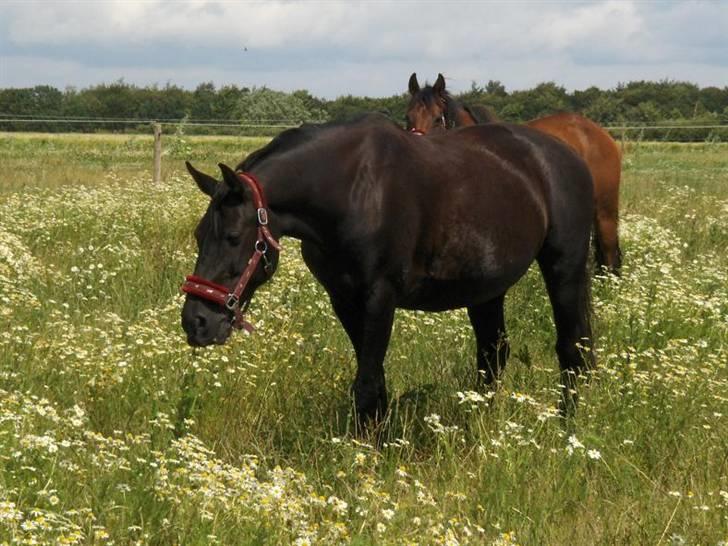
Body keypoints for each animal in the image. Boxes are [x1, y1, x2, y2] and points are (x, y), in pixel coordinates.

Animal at [182, 112, 596, 422]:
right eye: (199, 235)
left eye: (234, 236)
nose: (196, 322)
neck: (353, 190)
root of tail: (569, 157)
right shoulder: (344, 299)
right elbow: (374, 380)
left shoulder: (380, 297)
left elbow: (366, 384)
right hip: (486, 289)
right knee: (493, 355)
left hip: (565, 269)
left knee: (573, 350)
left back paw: (567, 429)